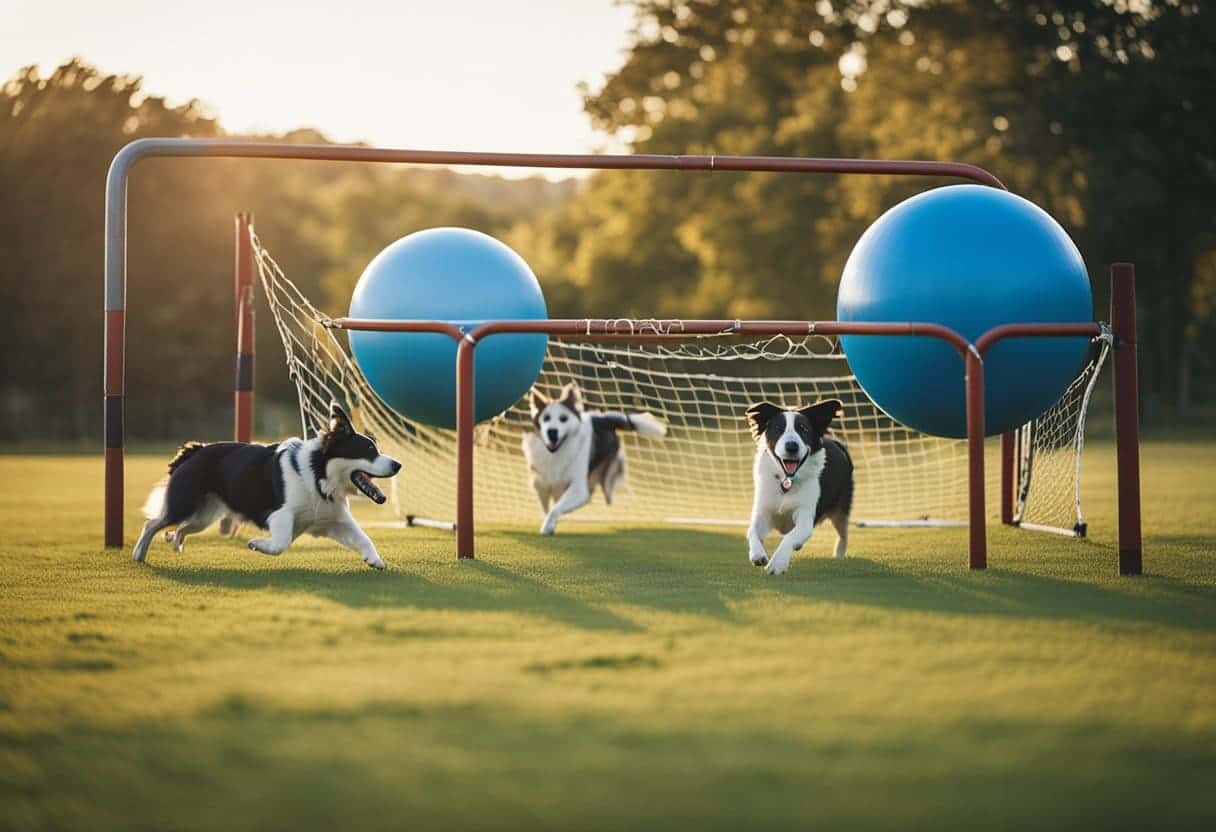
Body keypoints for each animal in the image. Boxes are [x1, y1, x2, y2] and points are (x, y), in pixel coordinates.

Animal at [132, 403, 401, 571]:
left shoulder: (333, 520)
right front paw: (257, 545)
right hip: (184, 505)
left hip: (203, 516)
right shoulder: (280, 515)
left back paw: (175, 541)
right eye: (368, 450)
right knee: (152, 523)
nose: (398, 464)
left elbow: (364, 538)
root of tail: (194, 450)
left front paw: (374, 560)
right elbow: (280, 543)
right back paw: (138, 554)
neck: (317, 475)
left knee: (181, 528)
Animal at [525, 381, 671, 532]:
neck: (558, 451)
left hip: (607, 475)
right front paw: (549, 519)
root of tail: (604, 419)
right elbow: (544, 497)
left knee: (603, 490)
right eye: (546, 418)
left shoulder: (578, 487)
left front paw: (548, 526)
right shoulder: (541, 479)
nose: (552, 432)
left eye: (563, 419)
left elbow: (557, 506)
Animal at [739, 398, 856, 574]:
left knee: (843, 533)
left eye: (803, 429)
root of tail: (837, 443)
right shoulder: (763, 511)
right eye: (778, 429)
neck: (787, 481)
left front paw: (777, 563)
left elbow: (790, 536)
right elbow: (751, 531)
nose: (792, 446)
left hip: (841, 508)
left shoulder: (805, 516)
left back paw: (839, 554)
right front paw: (758, 554)